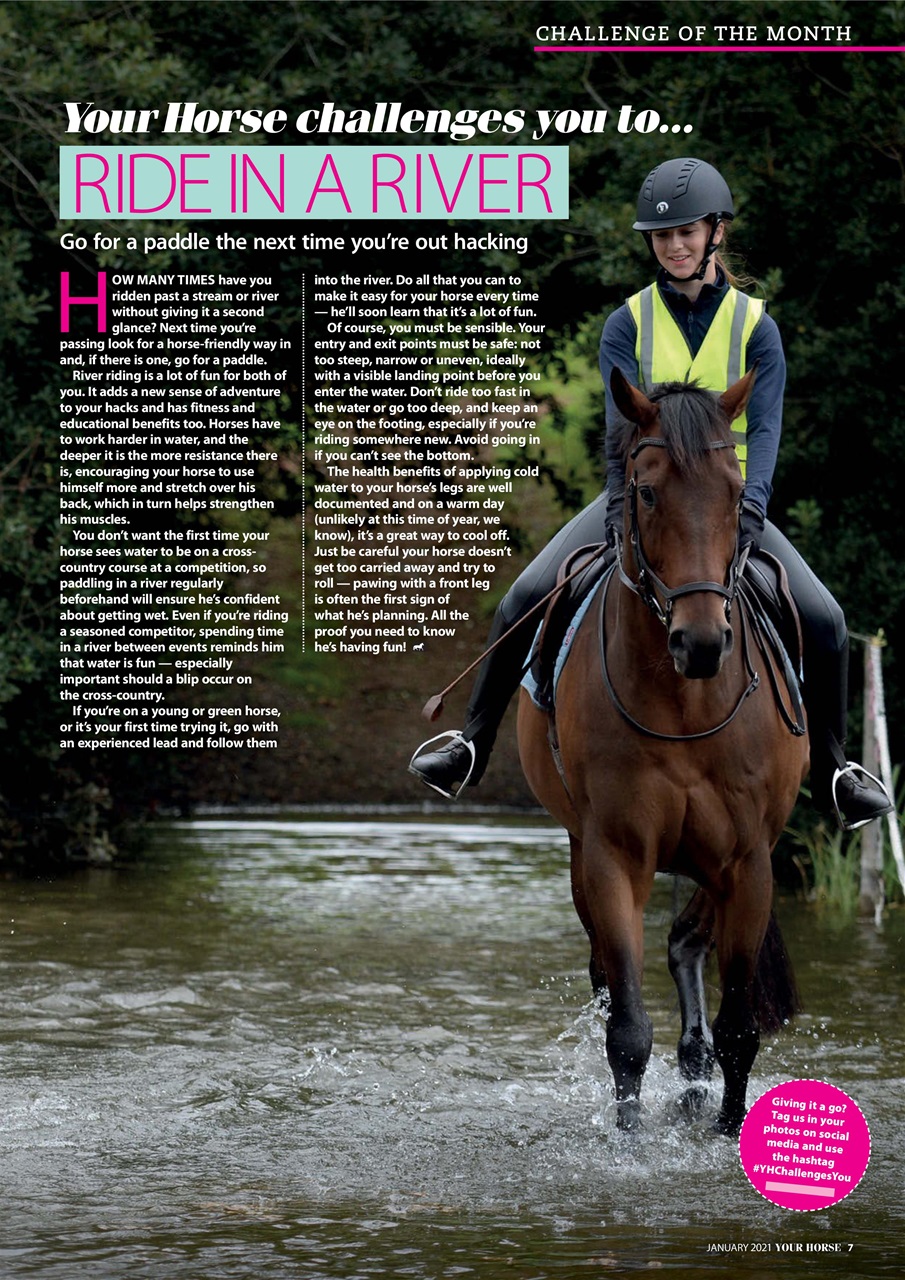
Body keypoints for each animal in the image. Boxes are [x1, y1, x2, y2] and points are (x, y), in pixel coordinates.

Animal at [517, 369, 809, 1136]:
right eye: (646, 493)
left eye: (736, 494)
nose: (701, 643)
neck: (685, 702)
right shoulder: (613, 854)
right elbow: (626, 1028)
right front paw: (626, 1142)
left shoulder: (749, 861)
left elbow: (739, 1026)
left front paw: (729, 1131)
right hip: (582, 850)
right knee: (608, 972)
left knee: (685, 945)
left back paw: (695, 1070)